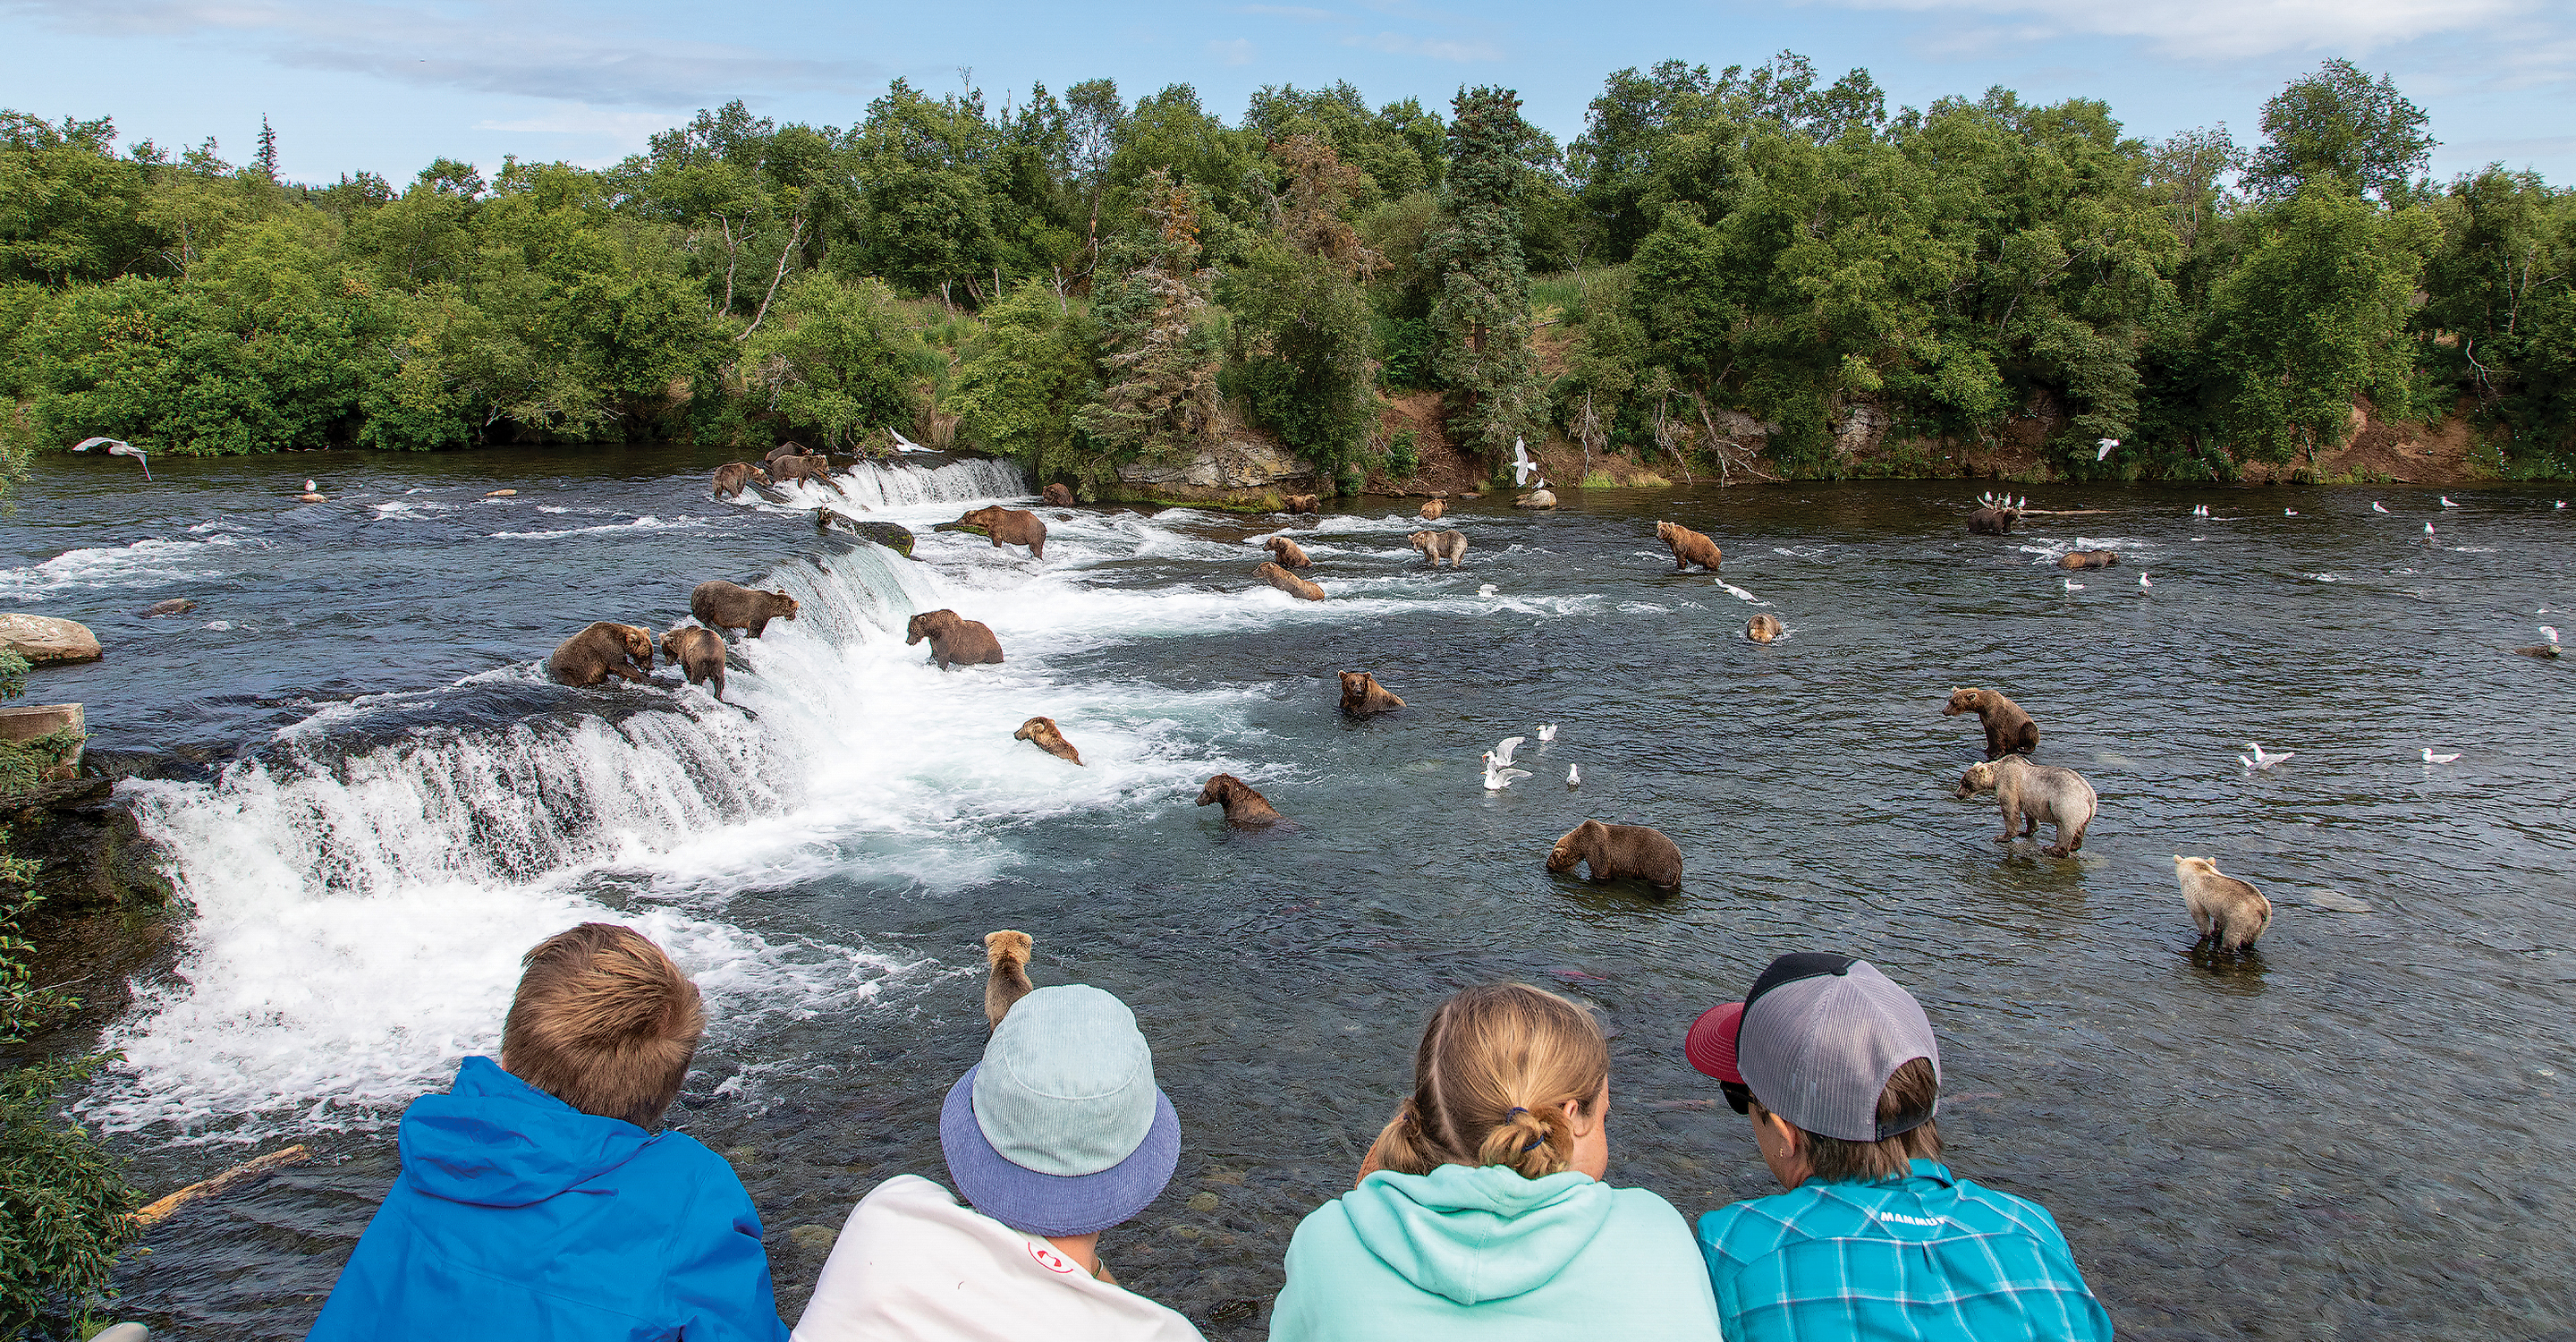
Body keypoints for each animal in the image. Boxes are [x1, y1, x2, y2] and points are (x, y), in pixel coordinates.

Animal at [1546, 813, 1690, 891]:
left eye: (1552, 858)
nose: (1547, 865)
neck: (1582, 844)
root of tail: (1679, 859)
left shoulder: (1597, 846)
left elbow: (1601, 871)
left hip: (1658, 863)